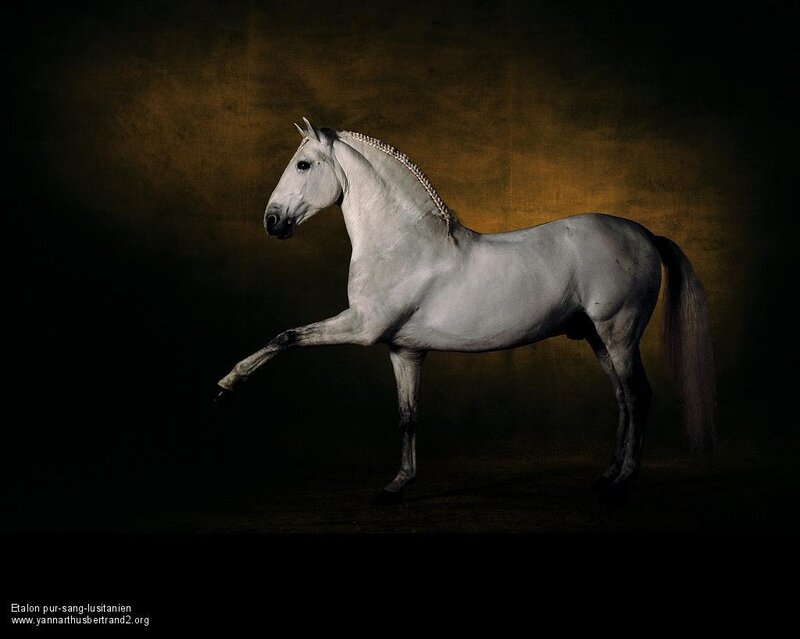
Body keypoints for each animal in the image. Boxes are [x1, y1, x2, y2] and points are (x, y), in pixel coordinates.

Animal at [216, 118, 716, 502]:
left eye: (303, 164)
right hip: (596, 338)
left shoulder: (361, 327)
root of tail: (645, 234)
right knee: (621, 398)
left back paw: (624, 480)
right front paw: (398, 485)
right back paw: (608, 474)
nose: (272, 222)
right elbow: (408, 416)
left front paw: (227, 385)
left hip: (619, 332)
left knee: (638, 395)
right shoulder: (403, 350)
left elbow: (286, 337)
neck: (402, 245)